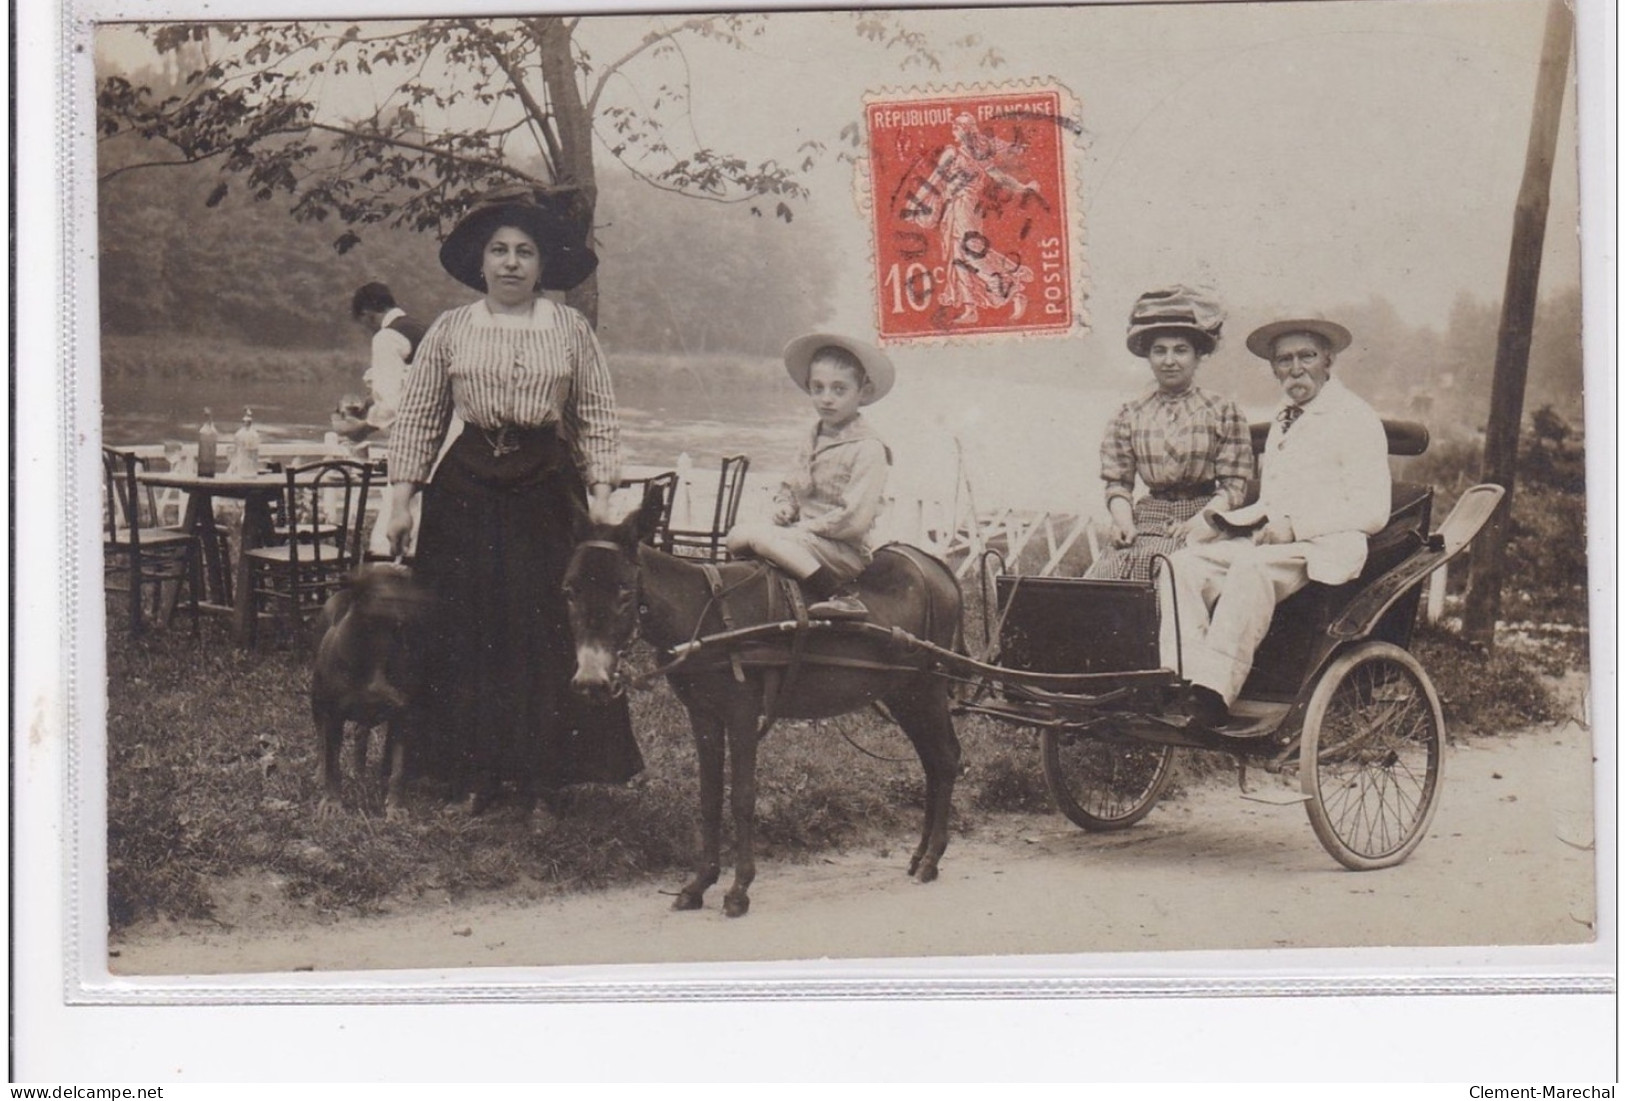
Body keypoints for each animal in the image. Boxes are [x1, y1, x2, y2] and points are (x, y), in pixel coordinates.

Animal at [310, 565, 432, 815]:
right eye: (394, 589)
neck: (377, 646)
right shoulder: (333, 715)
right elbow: (332, 764)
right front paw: (332, 802)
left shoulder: (403, 717)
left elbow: (398, 770)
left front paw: (395, 807)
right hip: (317, 699)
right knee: (321, 739)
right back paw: (320, 772)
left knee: (360, 733)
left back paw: (358, 771)